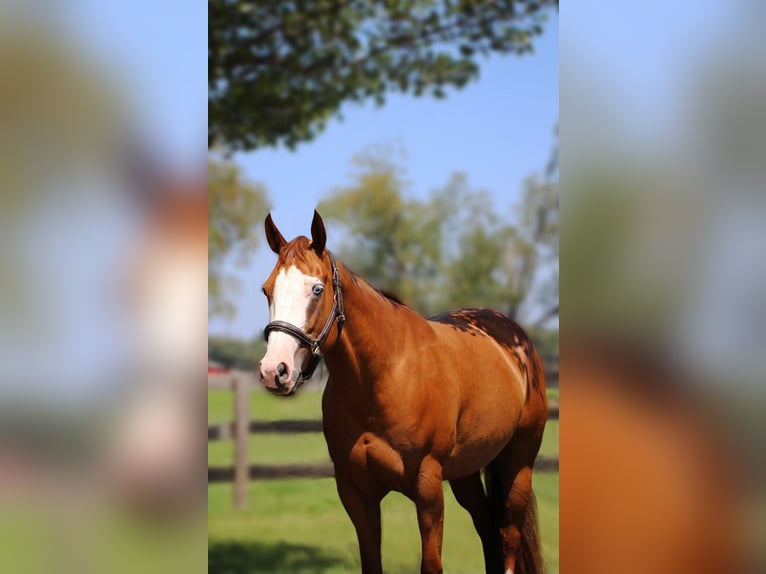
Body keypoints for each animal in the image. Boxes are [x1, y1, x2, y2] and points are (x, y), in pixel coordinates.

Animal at [260, 212, 548, 574]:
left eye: (316, 289)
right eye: (267, 290)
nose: (275, 371)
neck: (384, 378)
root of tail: (514, 337)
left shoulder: (427, 488)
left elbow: (432, 564)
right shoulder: (356, 493)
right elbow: (371, 562)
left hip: (519, 462)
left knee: (508, 534)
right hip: (466, 471)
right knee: (487, 527)